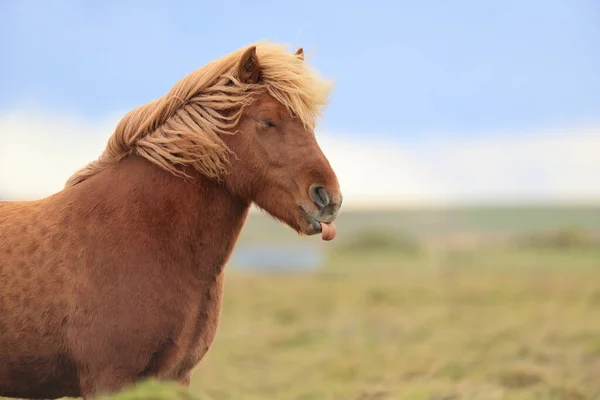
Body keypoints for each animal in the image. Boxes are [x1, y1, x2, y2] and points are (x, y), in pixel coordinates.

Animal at [0, 42, 342, 398]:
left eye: (310, 124)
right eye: (267, 120)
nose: (328, 198)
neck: (145, 232)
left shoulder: (174, 377)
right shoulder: (108, 380)